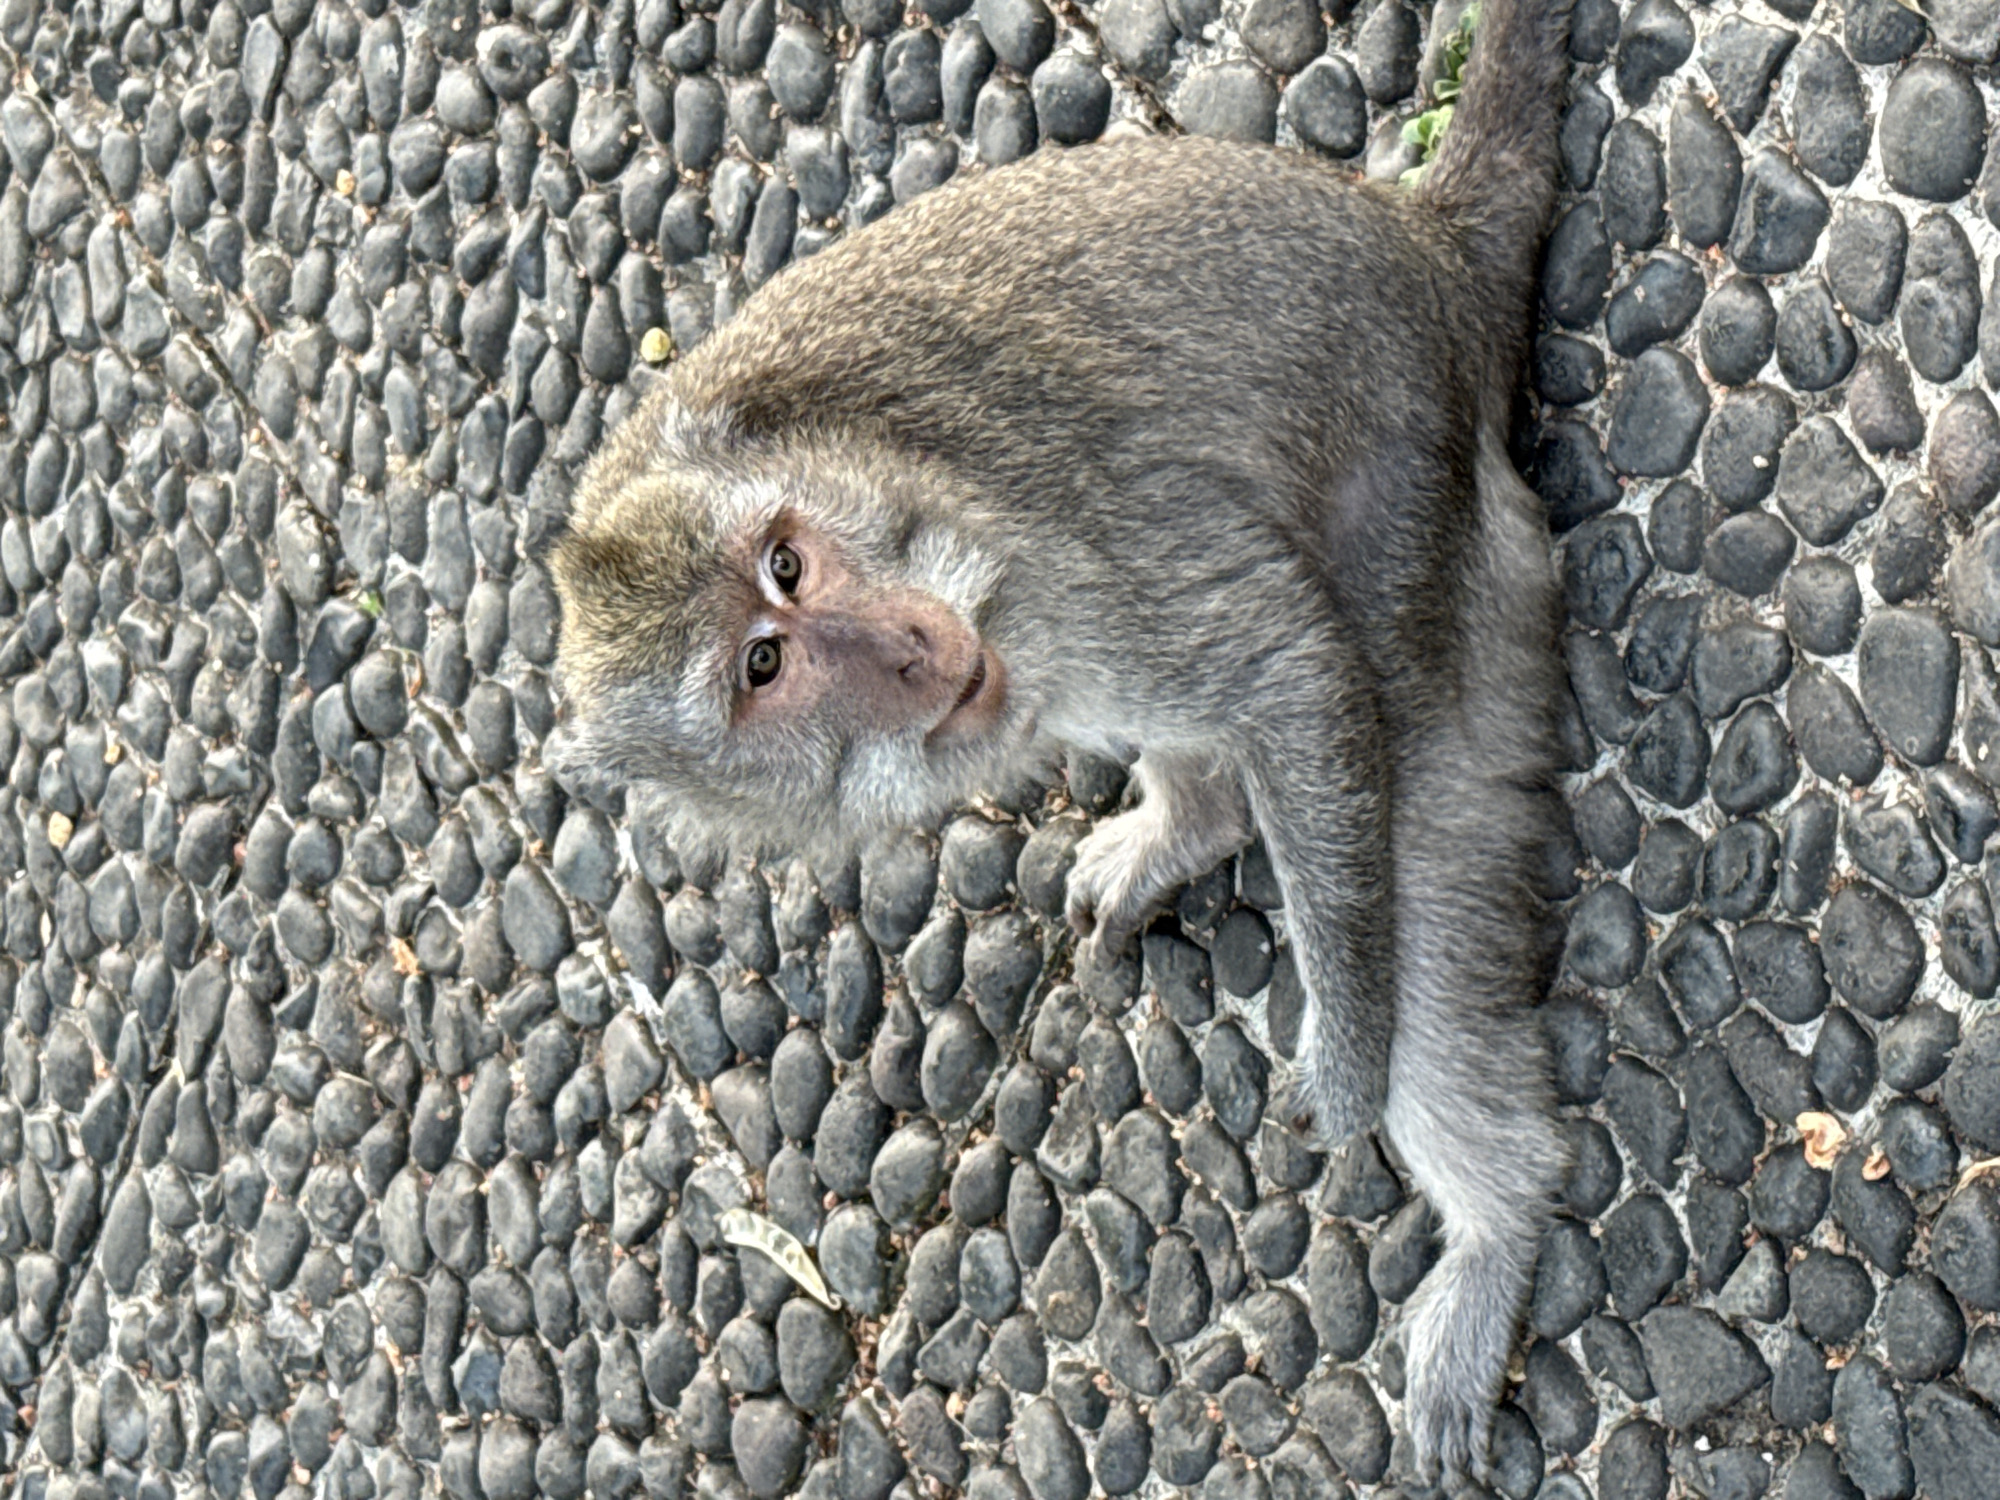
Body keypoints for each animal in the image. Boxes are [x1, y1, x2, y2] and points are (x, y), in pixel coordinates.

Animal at [551, 0, 1574, 1478]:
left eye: (786, 565)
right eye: (763, 667)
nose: (913, 645)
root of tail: (1423, 240)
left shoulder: (1058, 544)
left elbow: (1291, 671)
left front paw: (1346, 1059)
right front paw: (1186, 823)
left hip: (1431, 512)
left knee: (1421, 801)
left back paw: (1494, 1215)